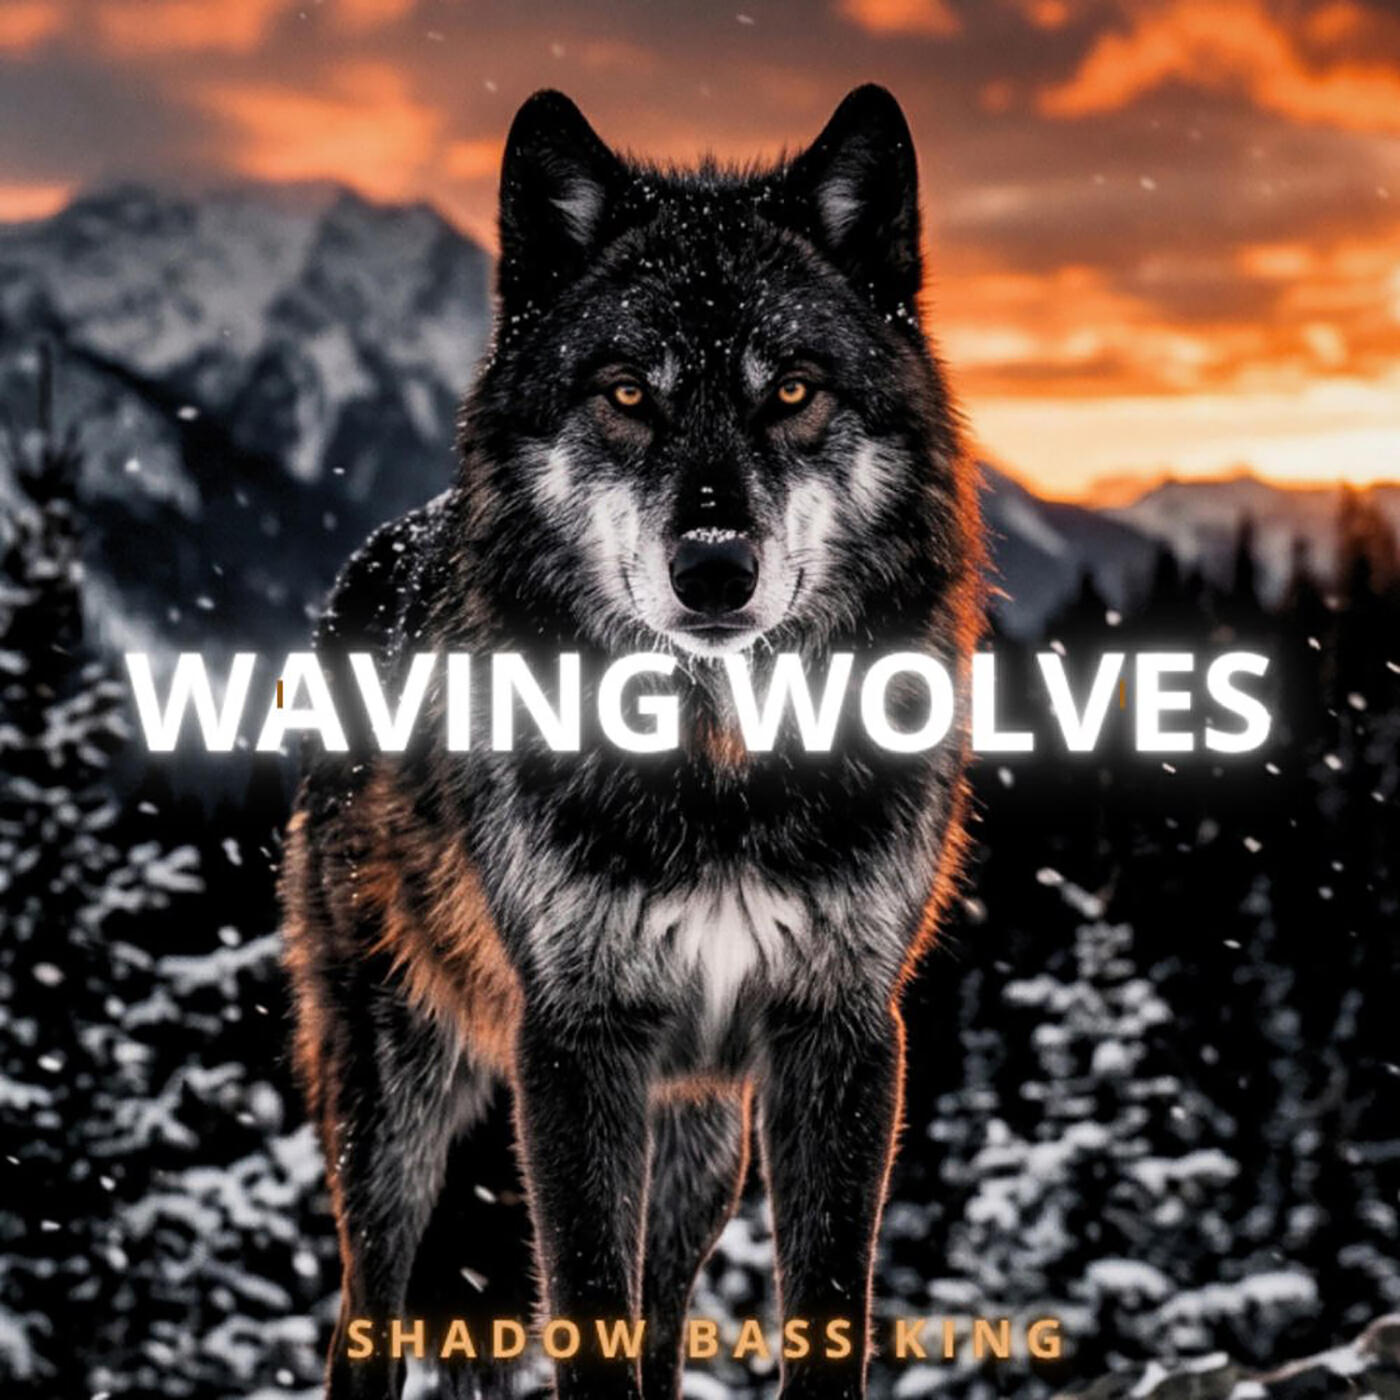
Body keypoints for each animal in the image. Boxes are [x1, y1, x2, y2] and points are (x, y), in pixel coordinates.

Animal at [281, 84, 983, 1400]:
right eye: (625, 393)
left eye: (790, 390)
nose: (713, 568)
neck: (717, 775)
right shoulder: (575, 1044)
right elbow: (585, 1317)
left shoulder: (841, 1033)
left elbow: (817, 1312)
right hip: (397, 1103)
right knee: (366, 1313)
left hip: (698, 1136)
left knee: (658, 1318)